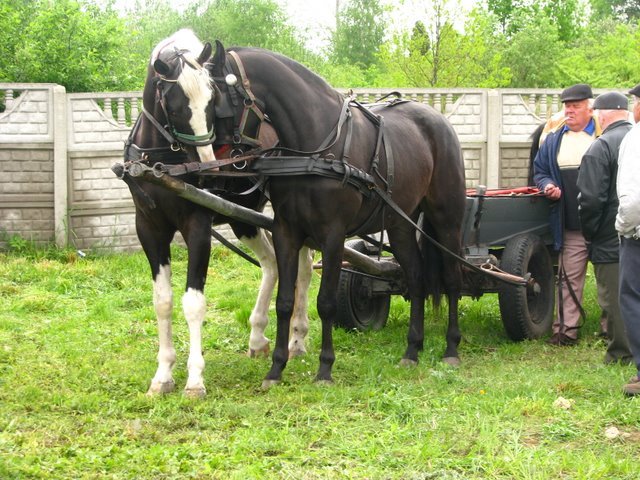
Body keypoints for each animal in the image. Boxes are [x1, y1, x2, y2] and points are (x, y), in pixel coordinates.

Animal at [122, 30, 312, 398]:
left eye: (213, 102)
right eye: (176, 105)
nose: (209, 169)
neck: (163, 162)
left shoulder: (197, 226)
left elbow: (193, 303)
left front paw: (195, 380)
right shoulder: (148, 228)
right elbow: (162, 301)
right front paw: (163, 374)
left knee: (304, 269)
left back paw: (297, 336)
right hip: (245, 218)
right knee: (272, 265)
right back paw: (258, 336)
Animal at [202, 40, 468, 386]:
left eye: (217, 99)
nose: (212, 168)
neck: (313, 147)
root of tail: (440, 120)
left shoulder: (332, 235)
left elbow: (325, 302)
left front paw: (325, 368)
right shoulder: (286, 231)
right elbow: (285, 302)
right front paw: (276, 368)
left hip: (446, 219)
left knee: (452, 279)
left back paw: (451, 348)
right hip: (399, 224)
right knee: (416, 276)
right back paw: (412, 350)